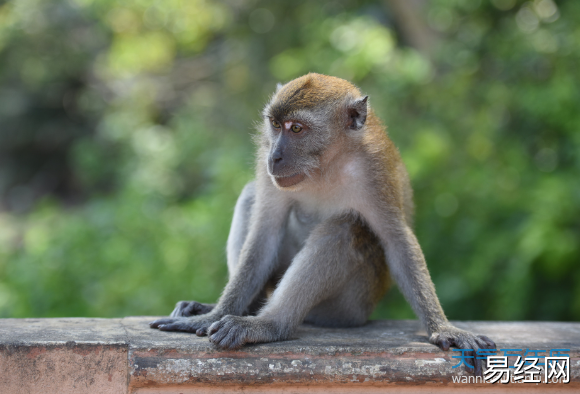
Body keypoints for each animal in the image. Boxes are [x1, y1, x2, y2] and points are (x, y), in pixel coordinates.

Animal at [150, 73, 494, 376]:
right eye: (276, 125)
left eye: (297, 128)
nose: (274, 157)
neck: (324, 165)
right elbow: (263, 234)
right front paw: (213, 315)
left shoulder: (374, 170)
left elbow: (397, 242)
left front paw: (444, 328)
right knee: (251, 197)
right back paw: (245, 310)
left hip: (347, 308)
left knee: (346, 228)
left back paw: (269, 325)